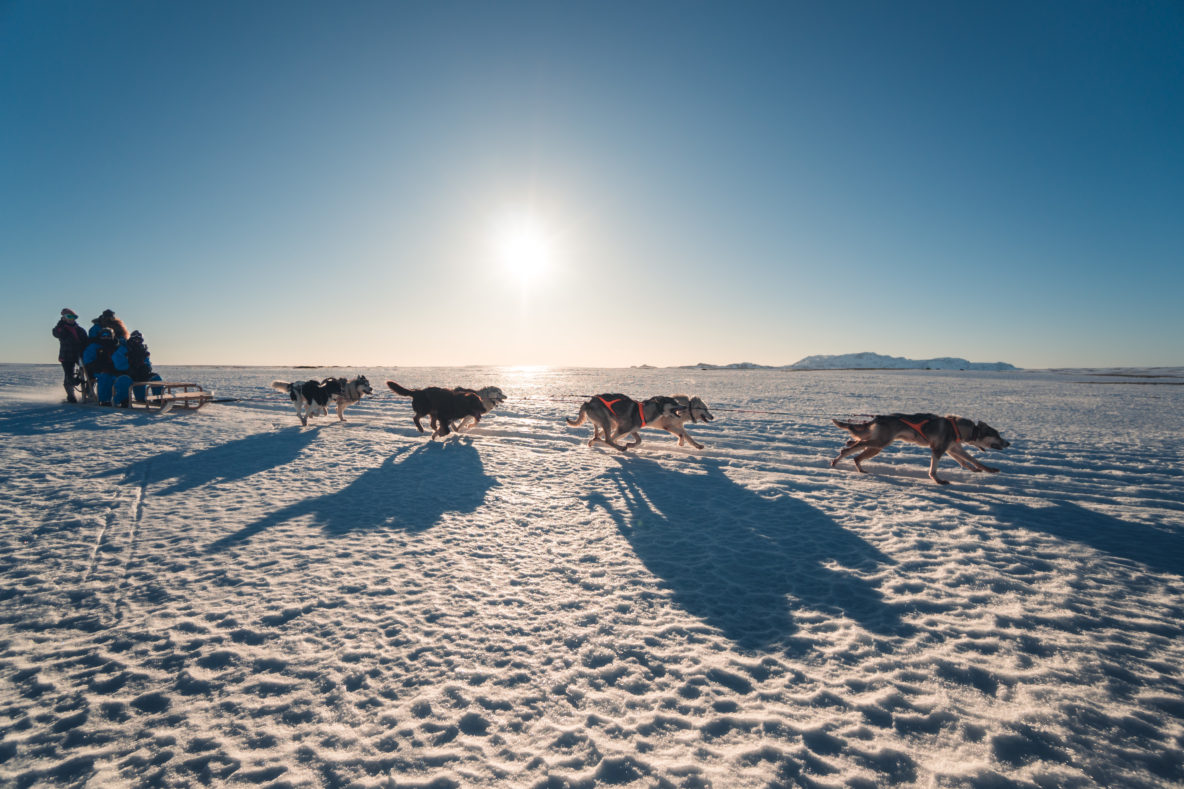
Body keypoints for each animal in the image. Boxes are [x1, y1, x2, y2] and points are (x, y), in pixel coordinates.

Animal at [833, 414, 1008, 483]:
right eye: (997, 435)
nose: (1009, 443)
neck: (960, 428)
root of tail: (878, 418)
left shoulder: (953, 449)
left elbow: (970, 461)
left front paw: (985, 469)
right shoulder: (938, 450)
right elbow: (933, 470)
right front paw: (938, 480)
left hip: (876, 444)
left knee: (854, 448)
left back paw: (857, 465)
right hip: (879, 444)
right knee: (851, 450)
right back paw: (836, 462)